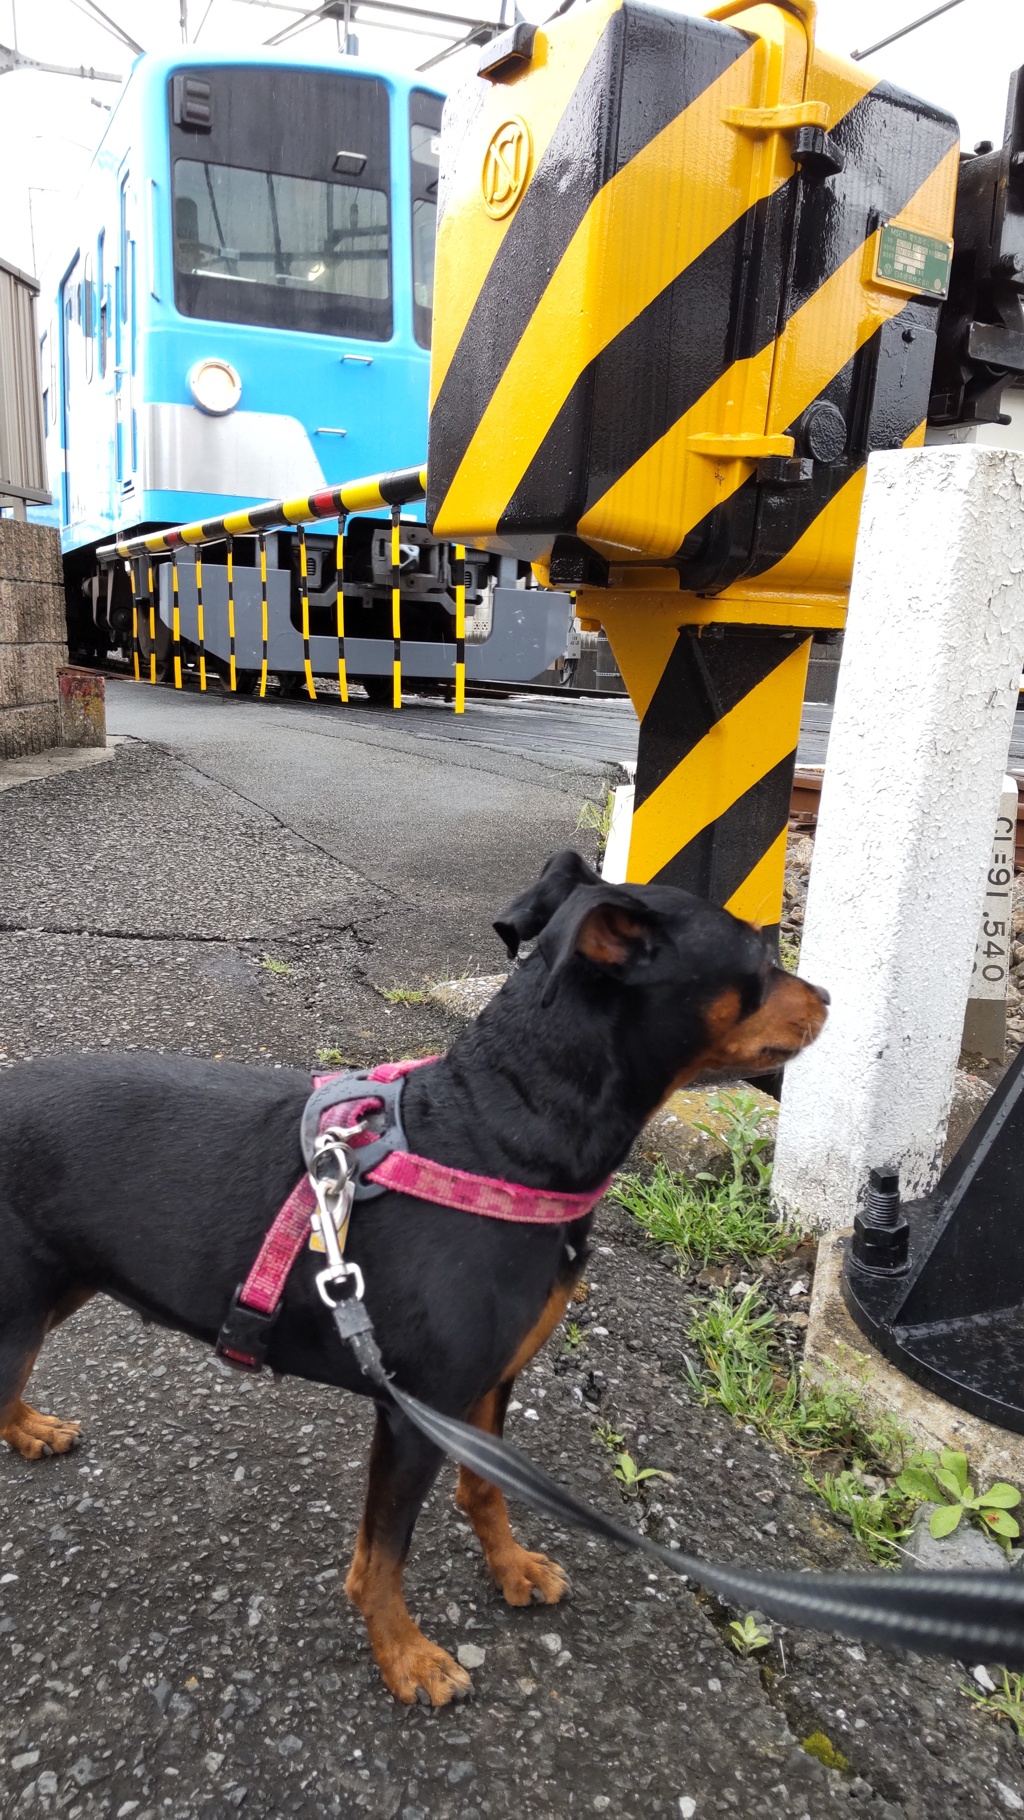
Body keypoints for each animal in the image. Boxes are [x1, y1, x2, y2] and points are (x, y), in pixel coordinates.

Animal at [0, 851, 825, 1703]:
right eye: (761, 953)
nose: (827, 999)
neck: (503, 1134)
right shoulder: (413, 1413)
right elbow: (383, 1557)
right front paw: (406, 1655)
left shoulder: (488, 1385)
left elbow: (485, 1488)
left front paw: (511, 1568)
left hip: (53, 1288)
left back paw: (28, 1430)